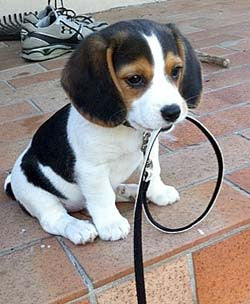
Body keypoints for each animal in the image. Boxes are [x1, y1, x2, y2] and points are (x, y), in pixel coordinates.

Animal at [4, 20, 202, 245]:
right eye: (135, 78)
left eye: (176, 71)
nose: (173, 112)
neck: (127, 128)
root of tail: (12, 183)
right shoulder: (92, 169)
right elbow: (102, 196)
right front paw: (111, 224)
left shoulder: (150, 151)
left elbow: (154, 172)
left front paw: (158, 192)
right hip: (35, 193)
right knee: (54, 218)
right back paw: (78, 228)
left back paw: (132, 192)